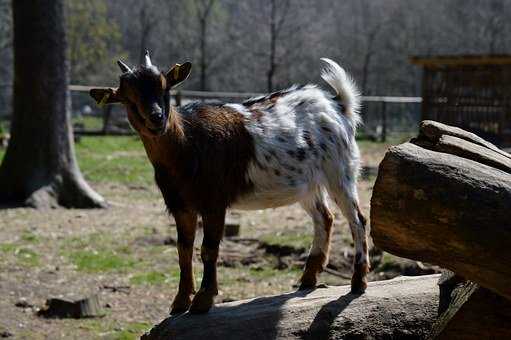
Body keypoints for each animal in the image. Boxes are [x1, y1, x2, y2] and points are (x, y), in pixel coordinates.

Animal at [88, 51, 368, 314]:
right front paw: (180, 302)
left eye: (165, 86)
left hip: (340, 170)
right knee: (324, 218)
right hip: (307, 184)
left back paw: (358, 282)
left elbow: (208, 249)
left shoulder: (214, 202)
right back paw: (308, 279)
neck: (187, 143)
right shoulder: (181, 206)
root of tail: (338, 104)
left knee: (357, 219)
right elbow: (183, 250)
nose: (156, 117)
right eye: (127, 96)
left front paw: (203, 300)